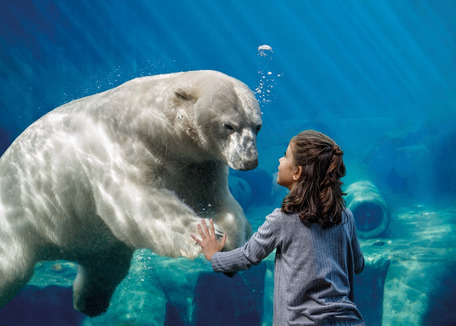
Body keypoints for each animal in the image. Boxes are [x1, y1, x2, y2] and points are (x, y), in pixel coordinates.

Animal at [0, 70, 262, 316]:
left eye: (257, 126)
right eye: (228, 125)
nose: (249, 161)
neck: (152, 124)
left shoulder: (198, 164)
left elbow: (216, 200)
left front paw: (232, 242)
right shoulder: (121, 149)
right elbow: (142, 203)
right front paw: (205, 234)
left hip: (95, 243)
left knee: (105, 267)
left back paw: (89, 302)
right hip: (16, 224)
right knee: (10, 270)